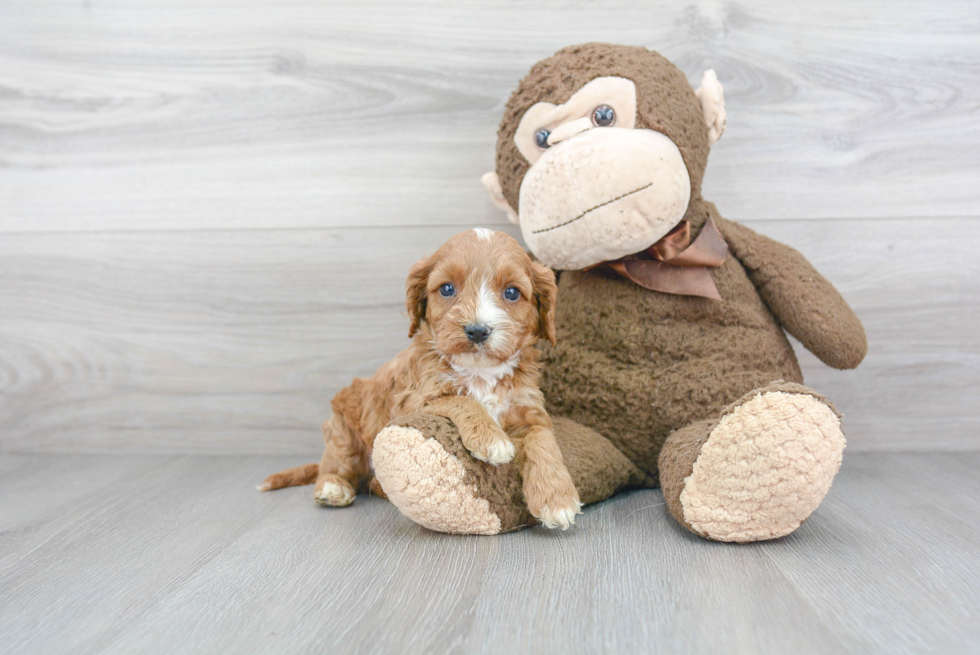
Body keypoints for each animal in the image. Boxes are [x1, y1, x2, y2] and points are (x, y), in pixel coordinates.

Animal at [256, 228, 584, 532]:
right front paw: (492, 439)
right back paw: (333, 487)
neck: (480, 372)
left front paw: (559, 500)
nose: (477, 330)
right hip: (343, 429)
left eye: (513, 293)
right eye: (447, 288)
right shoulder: (415, 399)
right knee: (337, 462)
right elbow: (461, 400)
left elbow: (543, 441)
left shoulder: (529, 407)